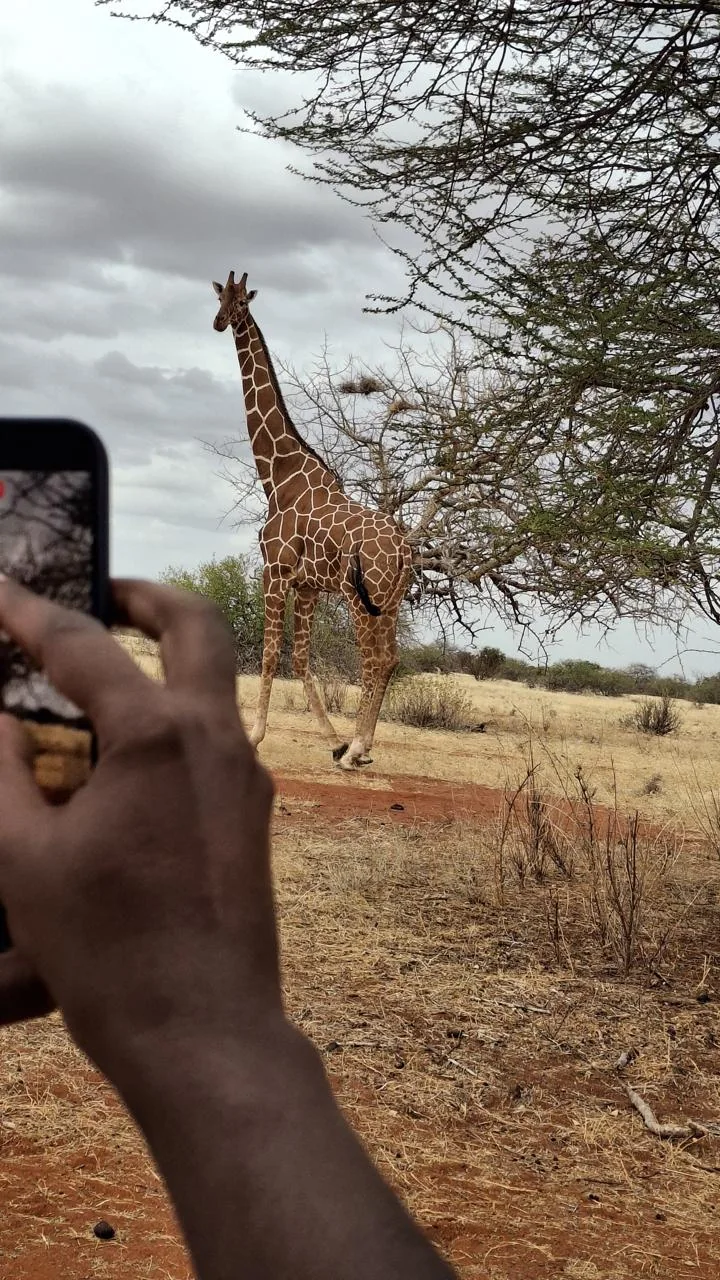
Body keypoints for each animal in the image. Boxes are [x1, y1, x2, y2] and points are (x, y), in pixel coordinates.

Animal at [212, 270, 412, 770]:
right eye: (220, 297)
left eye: (242, 301)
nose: (220, 322)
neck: (277, 477)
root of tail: (405, 548)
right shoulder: (306, 585)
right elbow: (299, 658)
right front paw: (332, 738)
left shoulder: (275, 571)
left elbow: (268, 655)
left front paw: (255, 736)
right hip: (392, 598)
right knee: (391, 657)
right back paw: (360, 748)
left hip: (362, 594)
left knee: (373, 659)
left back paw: (357, 749)